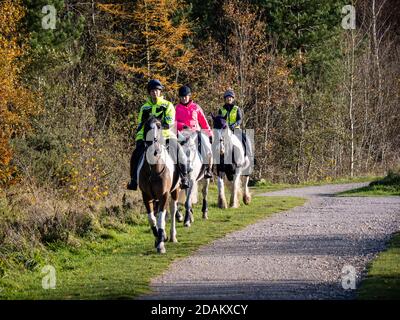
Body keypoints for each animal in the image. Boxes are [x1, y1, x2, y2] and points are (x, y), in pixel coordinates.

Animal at [138, 116, 181, 254]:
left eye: (159, 126)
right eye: (146, 126)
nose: (155, 150)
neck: (154, 169)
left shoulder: (164, 195)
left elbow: (161, 217)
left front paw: (161, 244)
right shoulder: (146, 196)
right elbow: (151, 218)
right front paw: (158, 237)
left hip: (175, 191)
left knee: (172, 210)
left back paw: (172, 236)